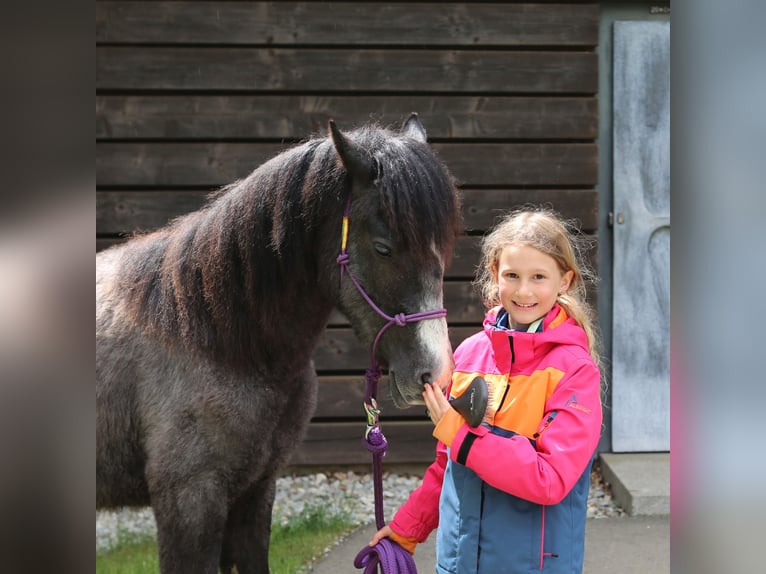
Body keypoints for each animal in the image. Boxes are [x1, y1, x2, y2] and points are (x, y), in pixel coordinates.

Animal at [96, 114, 463, 573]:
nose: (436, 370)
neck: (210, 336)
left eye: (444, 249)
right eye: (383, 248)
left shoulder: (255, 491)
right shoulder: (190, 501)